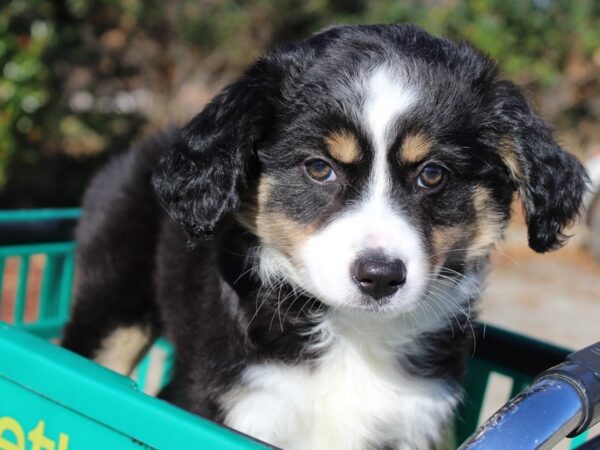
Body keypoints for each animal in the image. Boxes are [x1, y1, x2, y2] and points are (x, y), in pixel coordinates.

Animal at [63, 23, 588, 450]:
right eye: (319, 168)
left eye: (433, 174)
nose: (380, 277)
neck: (352, 335)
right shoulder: (227, 398)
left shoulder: (415, 421)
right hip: (114, 302)